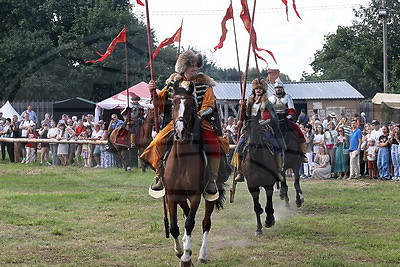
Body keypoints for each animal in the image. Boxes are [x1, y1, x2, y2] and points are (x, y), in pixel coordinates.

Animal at [163, 83, 225, 266]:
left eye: (191, 105)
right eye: (174, 104)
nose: (180, 132)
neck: (182, 160)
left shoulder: (196, 195)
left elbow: (190, 223)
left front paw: (186, 256)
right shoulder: (172, 195)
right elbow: (174, 226)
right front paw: (179, 250)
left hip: (209, 195)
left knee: (205, 223)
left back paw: (201, 254)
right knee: (186, 214)